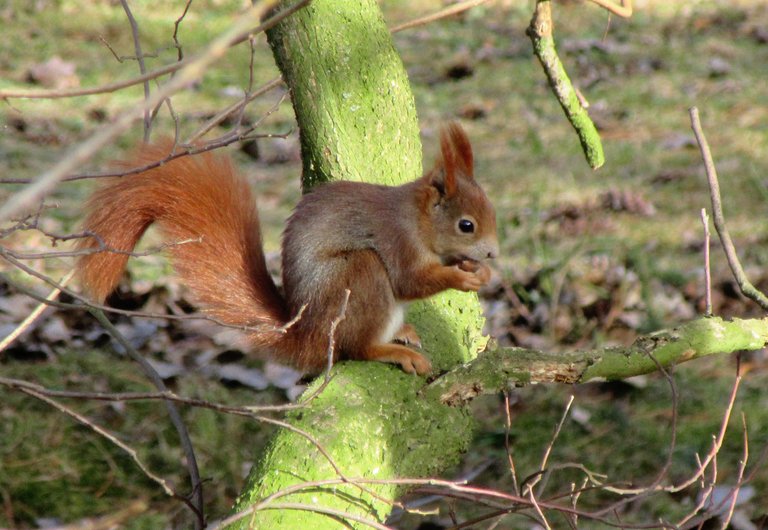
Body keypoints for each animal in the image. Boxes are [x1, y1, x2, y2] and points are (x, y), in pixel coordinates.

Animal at [76, 121, 498, 374]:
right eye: (466, 225)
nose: (492, 253)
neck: (417, 219)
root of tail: (304, 336)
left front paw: (479, 270)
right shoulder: (396, 239)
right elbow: (410, 281)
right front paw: (463, 278)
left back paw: (403, 331)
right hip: (358, 275)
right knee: (353, 348)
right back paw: (391, 351)